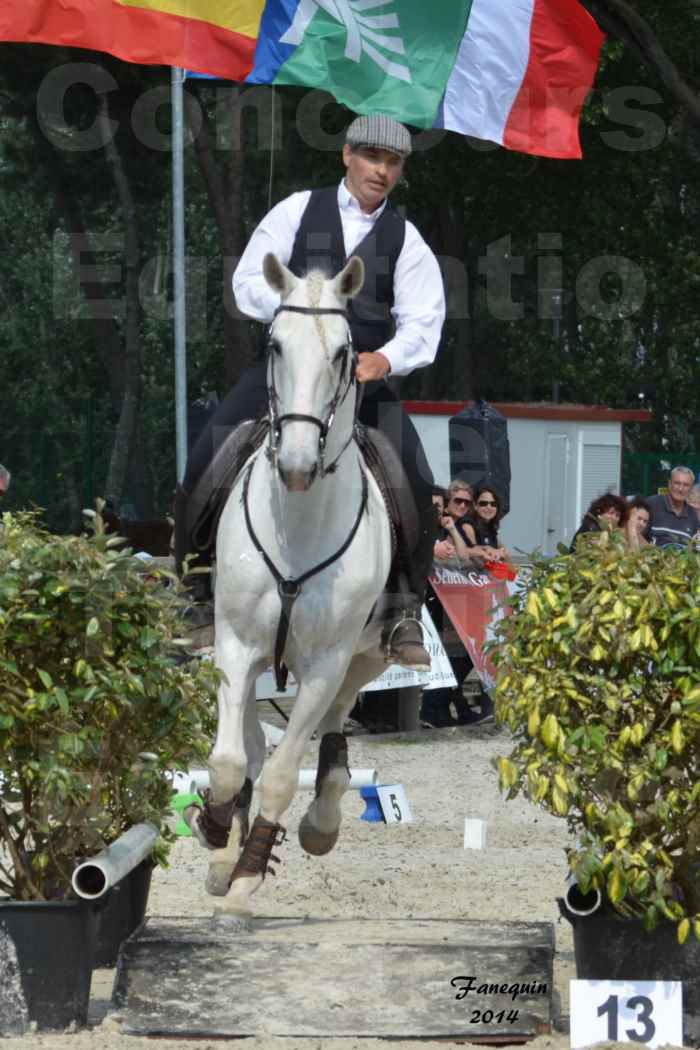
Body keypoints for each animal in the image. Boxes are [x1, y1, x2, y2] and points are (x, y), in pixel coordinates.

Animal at [188, 254, 396, 919]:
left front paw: (248, 878)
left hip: (367, 656)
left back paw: (320, 820)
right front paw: (217, 835)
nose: (299, 466)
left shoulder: (326, 664)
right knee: (252, 741)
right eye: (275, 344)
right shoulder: (234, 646)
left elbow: (283, 772)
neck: (299, 522)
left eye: (344, 352)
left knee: (334, 729)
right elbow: (229, 762)